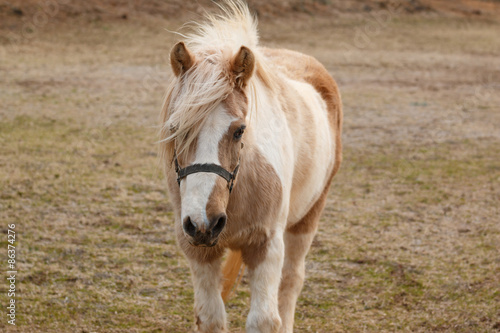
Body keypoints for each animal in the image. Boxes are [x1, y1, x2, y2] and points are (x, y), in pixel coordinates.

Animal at [158, 1, 342, 330]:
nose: (204, 222)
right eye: (175, 128)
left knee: (291, 282)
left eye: (240, 130)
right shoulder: (196, 249)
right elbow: (210, 318)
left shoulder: (267, 245)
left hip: (308, 218)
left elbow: (265, 319)